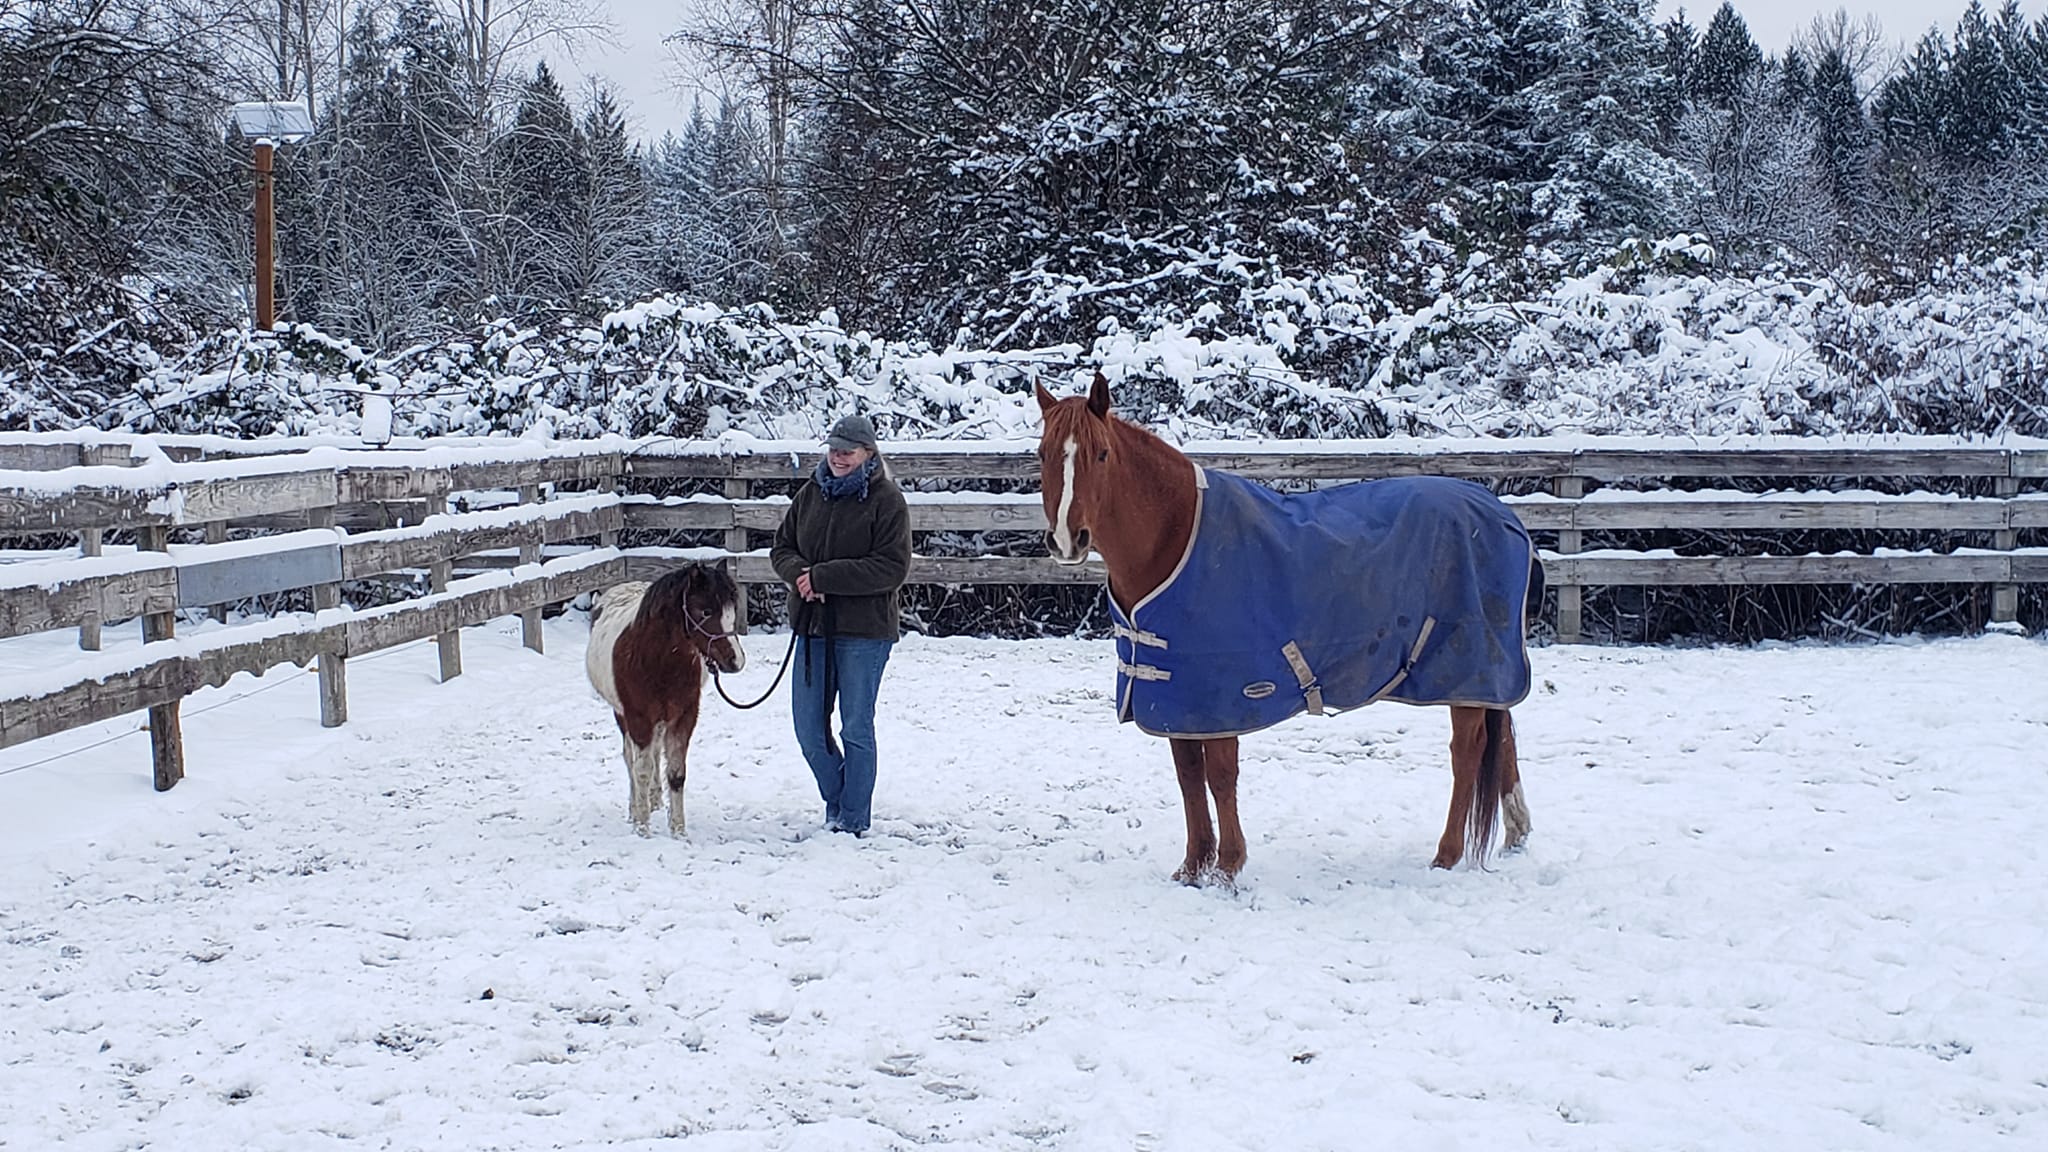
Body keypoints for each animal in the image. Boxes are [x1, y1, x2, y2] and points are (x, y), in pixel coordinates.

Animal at [585, 561, 745, 832]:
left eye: (732, 609)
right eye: (705, 611)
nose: (735, 661)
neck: (656, 660)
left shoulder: (683, 717)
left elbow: (676, 774)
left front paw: (678, 831)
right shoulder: (637, 718)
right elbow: (640, 771)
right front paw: (641, 828)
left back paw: (656, 800)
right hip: (623, 715)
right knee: (631, 759)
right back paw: (636, 808)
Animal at [1040, 377, 1540, 877]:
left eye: (1102, 454)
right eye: (1042, 453)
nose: (1067, 540)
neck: (1174, 534)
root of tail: (1504, 515)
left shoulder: (1221, 696)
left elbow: (1220, 775)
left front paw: (1228, 866)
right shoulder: (1176, 696)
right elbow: (1188, 775)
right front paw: (1194, 866)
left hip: (1469, 667)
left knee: (1467, 751)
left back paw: (1447, 854)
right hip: (1485, 676)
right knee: (1501, 741)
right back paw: (1516, 834)